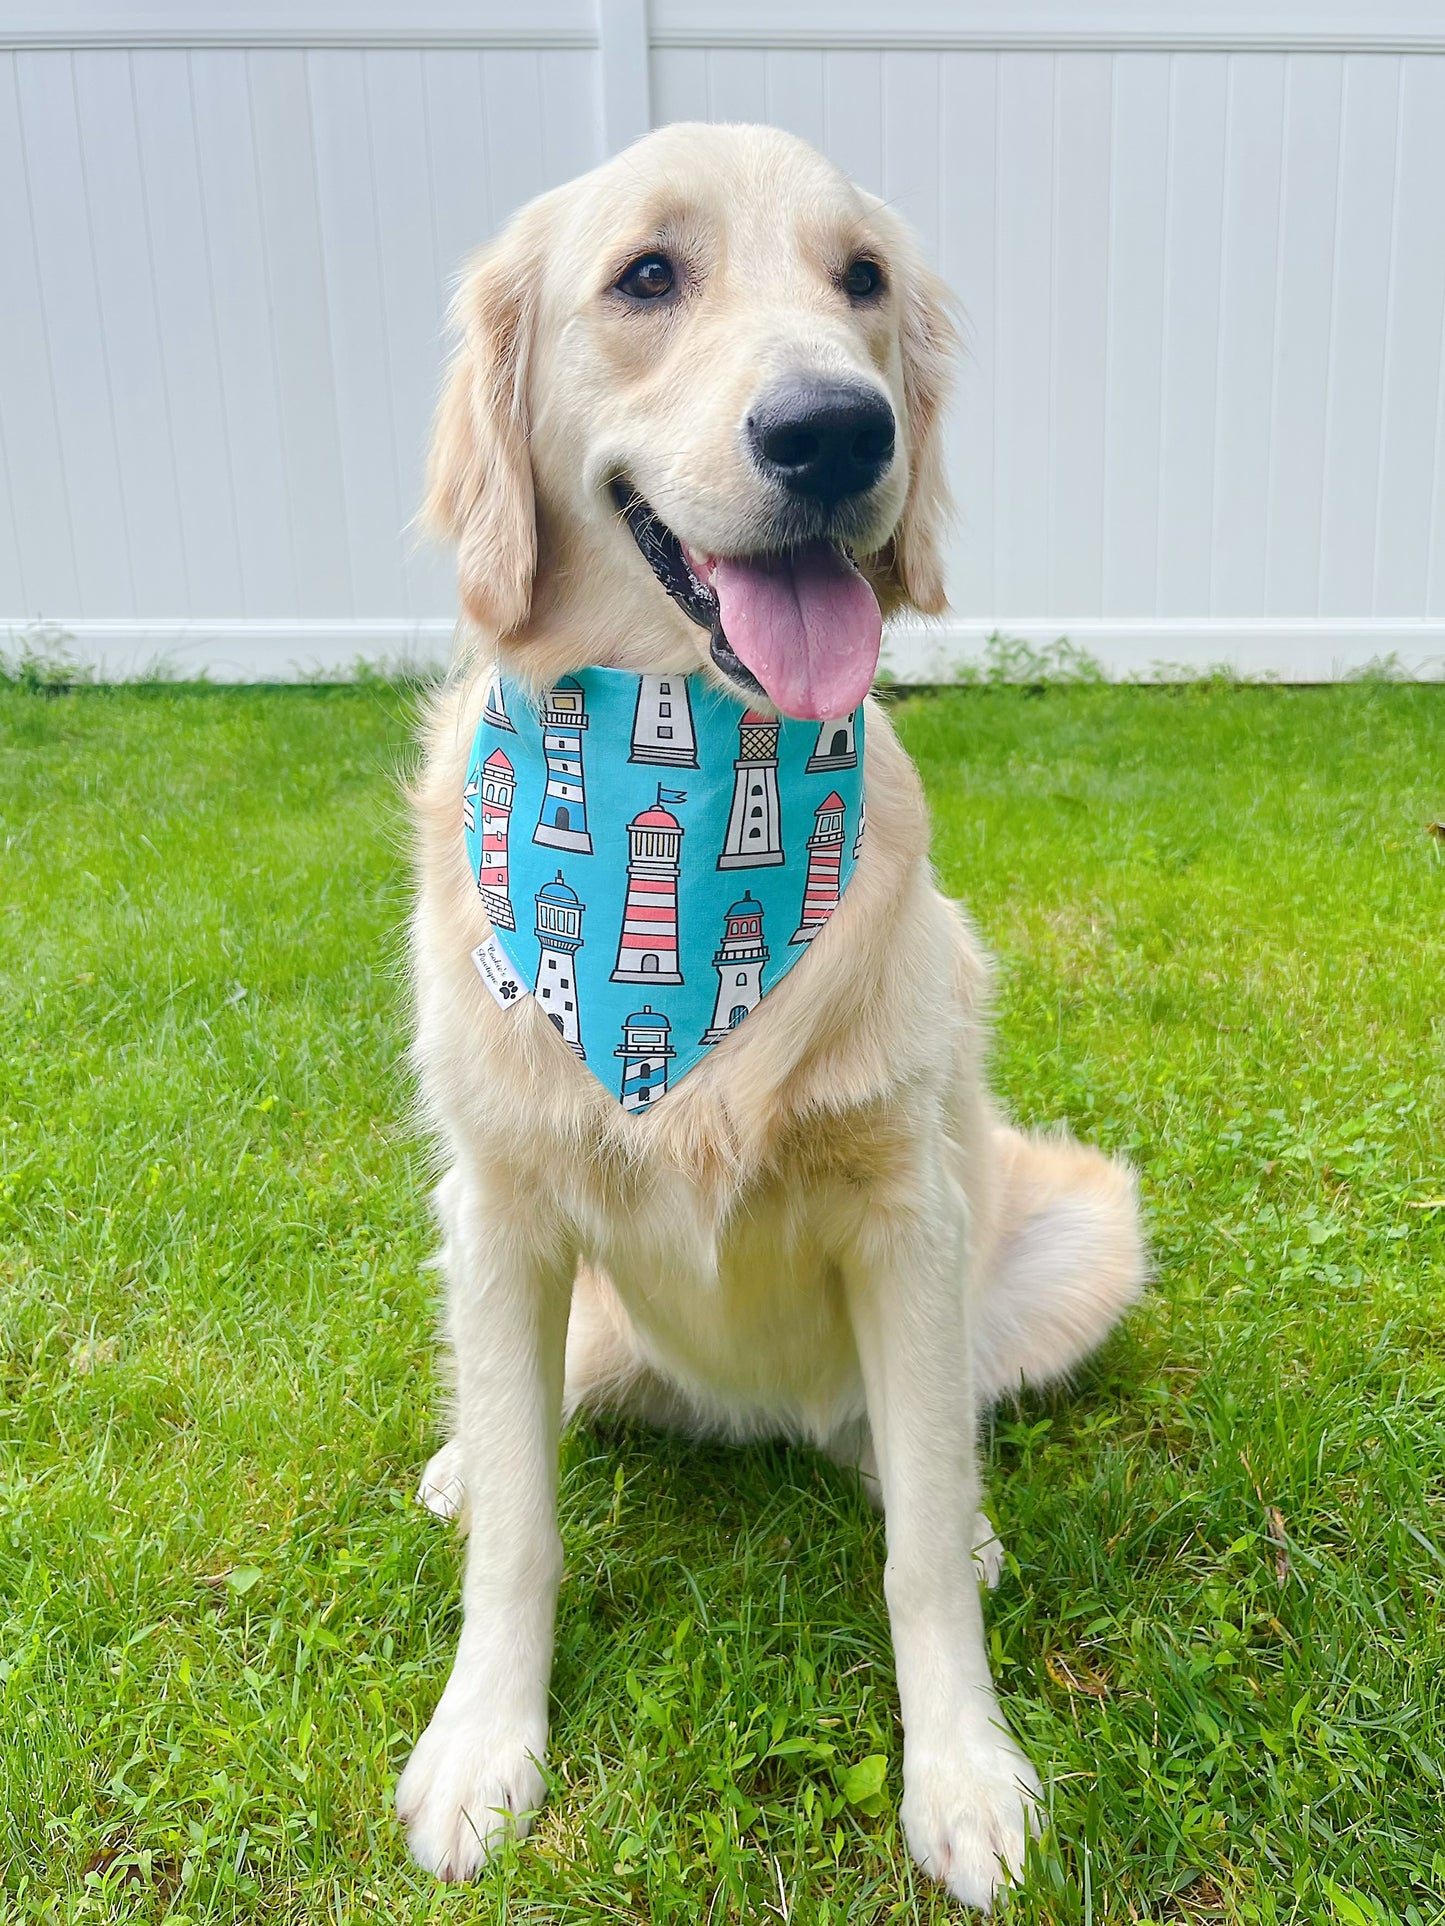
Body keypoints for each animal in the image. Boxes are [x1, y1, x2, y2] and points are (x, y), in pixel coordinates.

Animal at [393, 124, 1140, 1910]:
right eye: (647, 276)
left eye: (859, 278)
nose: (838, 428)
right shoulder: (500, 1208)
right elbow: (524, 1527)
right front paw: (481, 1740)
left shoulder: (908, 1218)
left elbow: (918, 1542)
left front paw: (964, 1773)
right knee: (525, 1414)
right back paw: (458, 1459)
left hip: (1073, 1232)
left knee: (913, 1442)